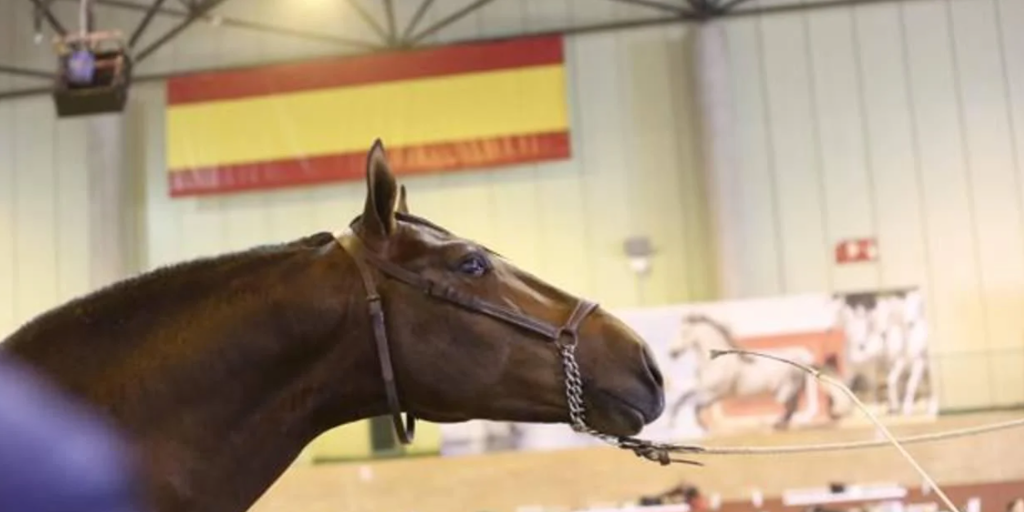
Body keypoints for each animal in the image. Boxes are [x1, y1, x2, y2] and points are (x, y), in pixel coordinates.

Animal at [664, 314, 844, 432]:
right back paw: (779, 424)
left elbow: (697, 406)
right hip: (786, 389)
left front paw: (704, 426)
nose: (672, 353)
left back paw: (777, 424)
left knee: (791, 406)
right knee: (793, 406)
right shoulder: (703, 387)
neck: (714, 362)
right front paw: (671, 421)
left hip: (784, 389)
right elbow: (684, 398)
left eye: (684, 332)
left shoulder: (715, 393)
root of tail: (803, 359)